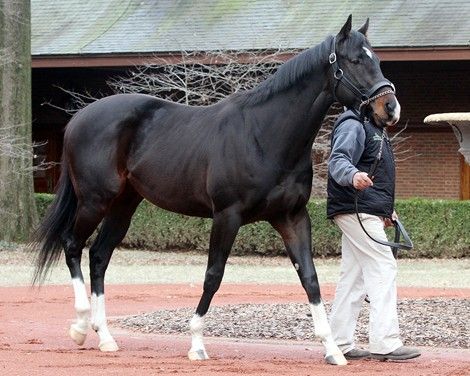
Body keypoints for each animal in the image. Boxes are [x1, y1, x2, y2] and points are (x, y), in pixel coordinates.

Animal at [32, 16, 400, 366]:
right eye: (354, 60)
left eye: (379, 59)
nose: (390, 108)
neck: (264, 135)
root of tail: (79, 117)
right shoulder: (227, 215)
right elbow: (214, 274)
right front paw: (196, 343)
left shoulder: (292, 217)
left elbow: (309, 277)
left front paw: (332, 350)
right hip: (95, 201)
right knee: (72, 244)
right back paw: (80, 327)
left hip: (124, 204)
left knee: (99, 256)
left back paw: (105, 337)